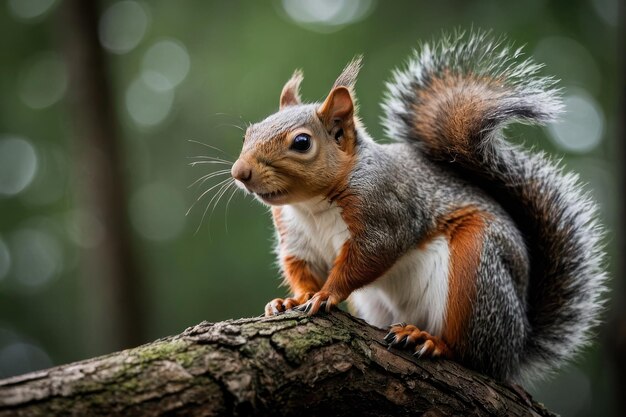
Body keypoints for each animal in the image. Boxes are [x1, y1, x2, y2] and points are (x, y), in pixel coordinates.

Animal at [229, 31, 604, 384]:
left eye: (302, 142)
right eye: (249, 133)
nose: (239, 172)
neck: (313, 205)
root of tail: (516, 348)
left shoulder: (385, 213)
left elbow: (370, 256)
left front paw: (326, 294)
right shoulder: (297, 239)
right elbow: (303, 269)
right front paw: (292, 300)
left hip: (477, 269)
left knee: (473, 353)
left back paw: (431, 340)